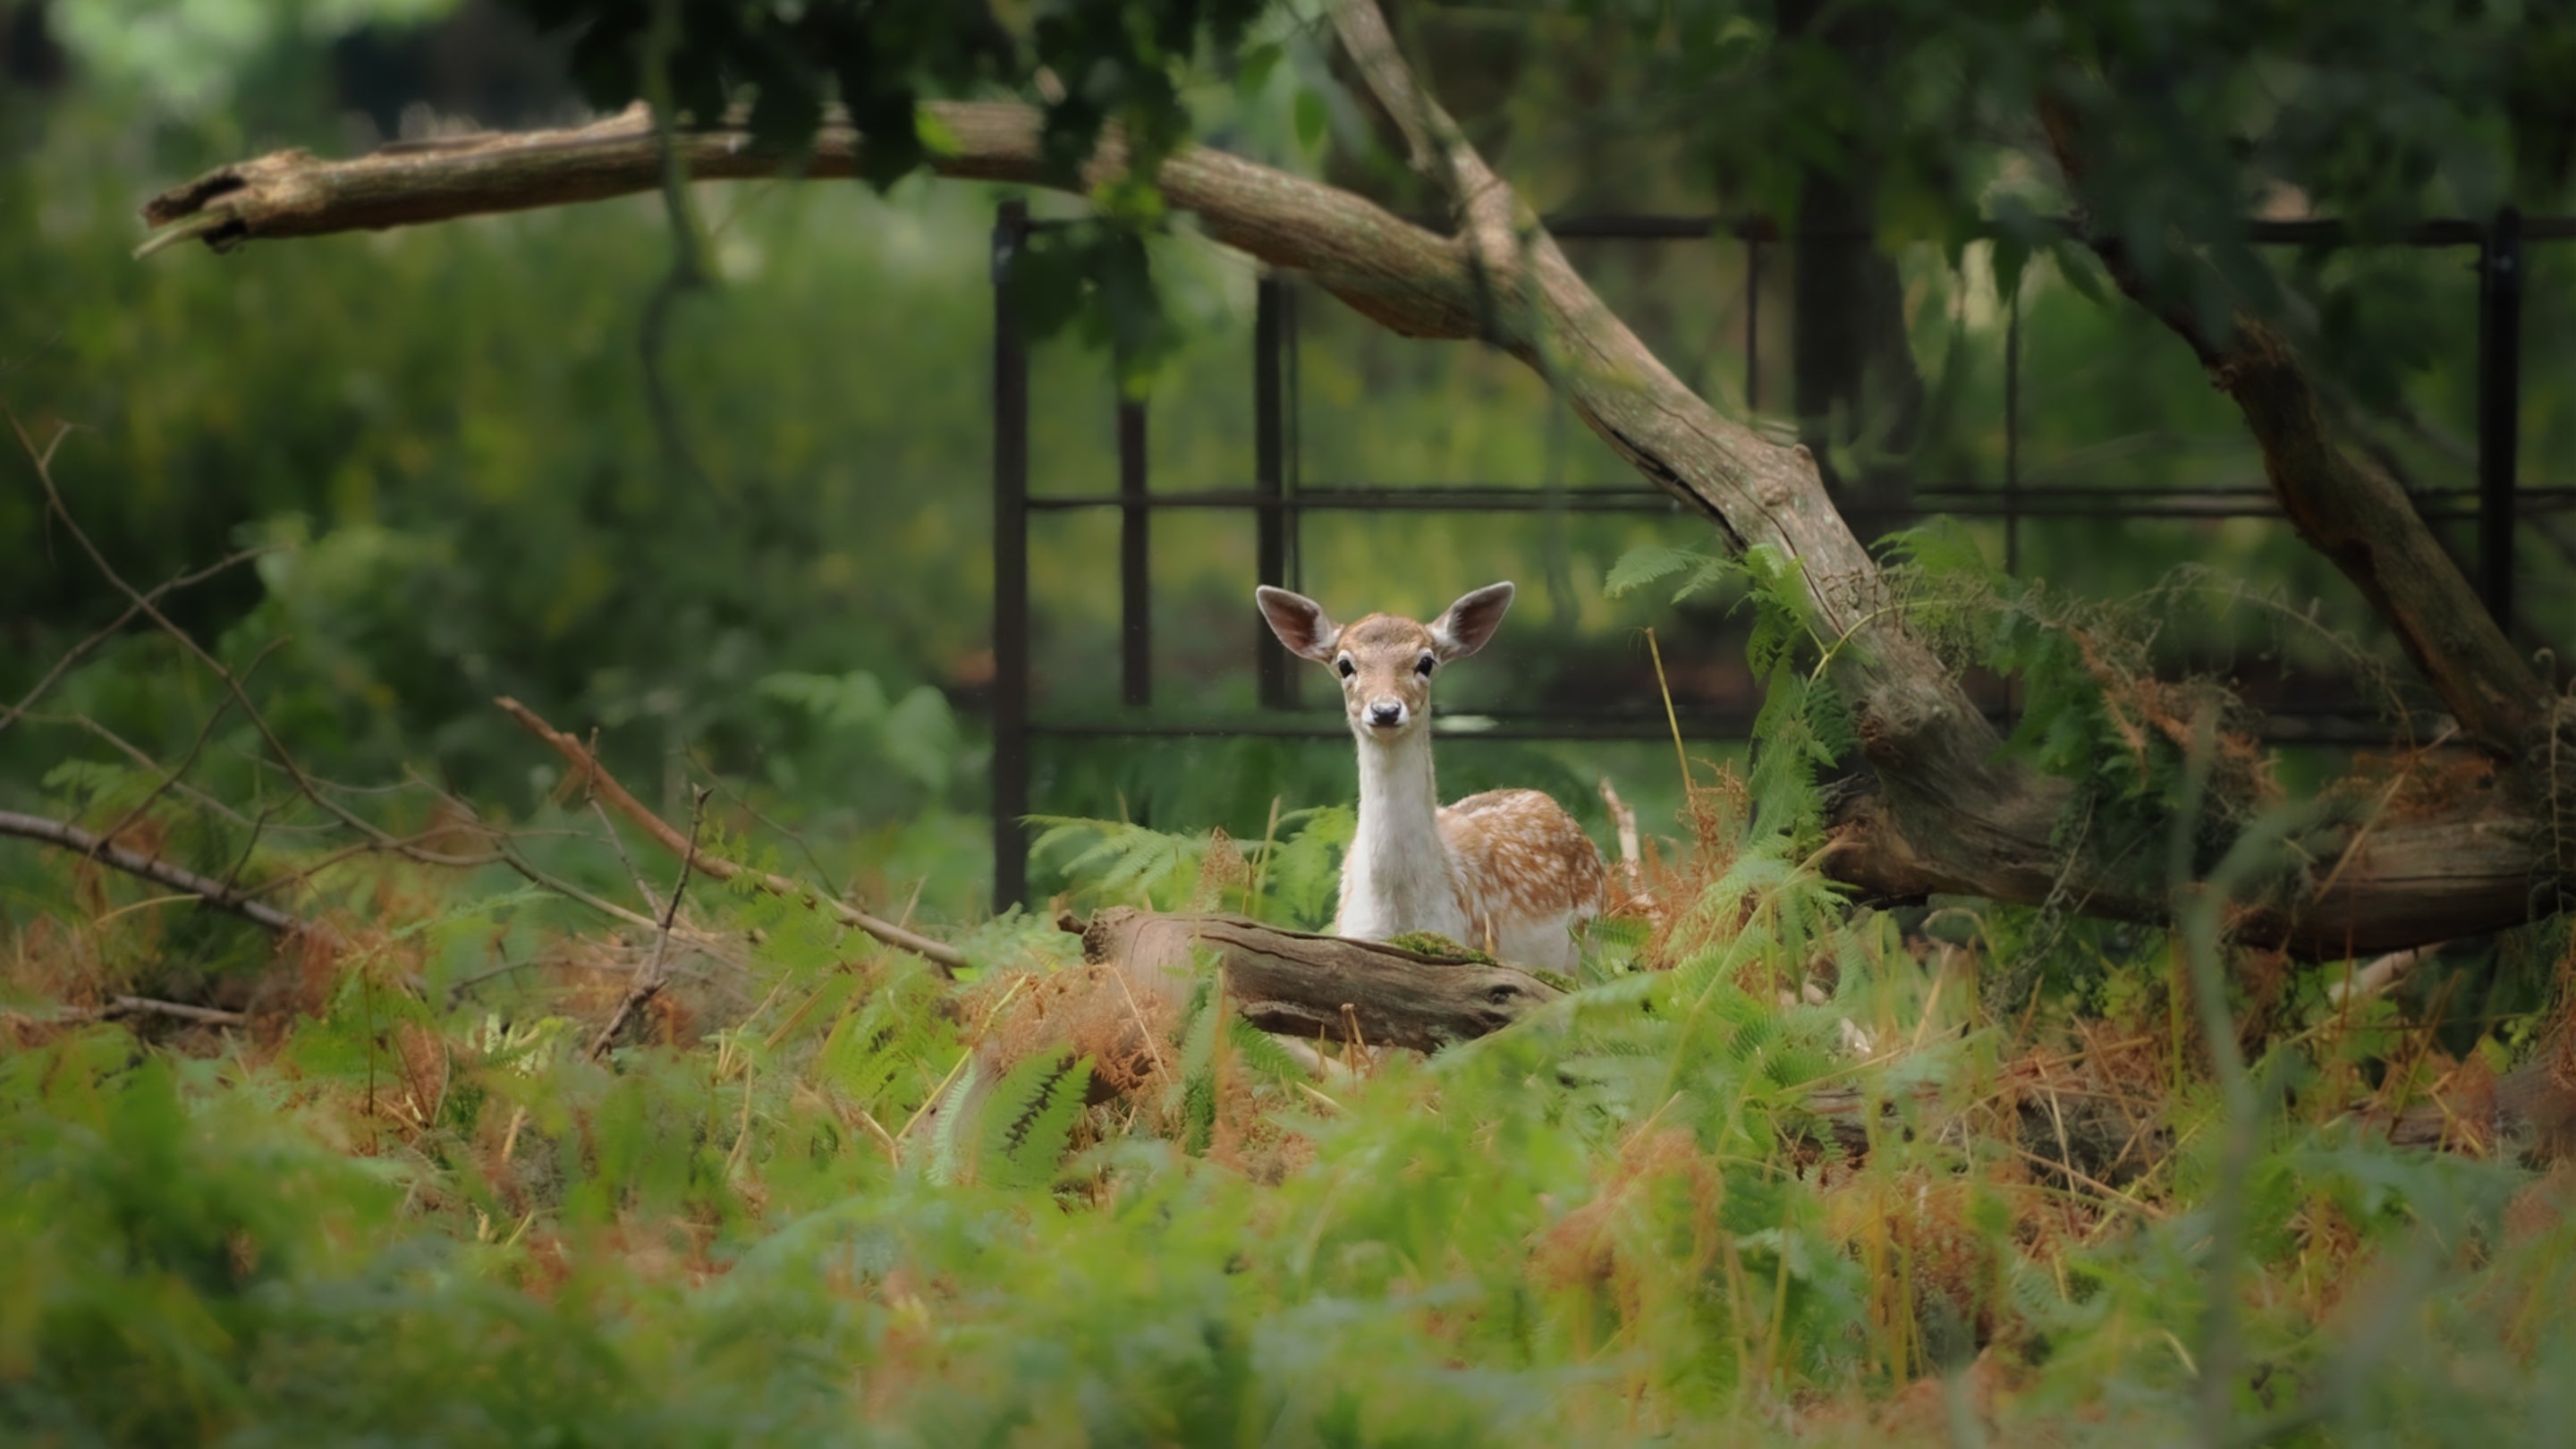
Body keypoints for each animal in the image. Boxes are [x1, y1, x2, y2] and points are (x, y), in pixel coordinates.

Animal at [1256, 580, 1610, 973]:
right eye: (1345, 664)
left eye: (1425, 661)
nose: (1385, 710)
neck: (1399, 910)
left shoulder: (1467, 947)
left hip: (1587, 945)